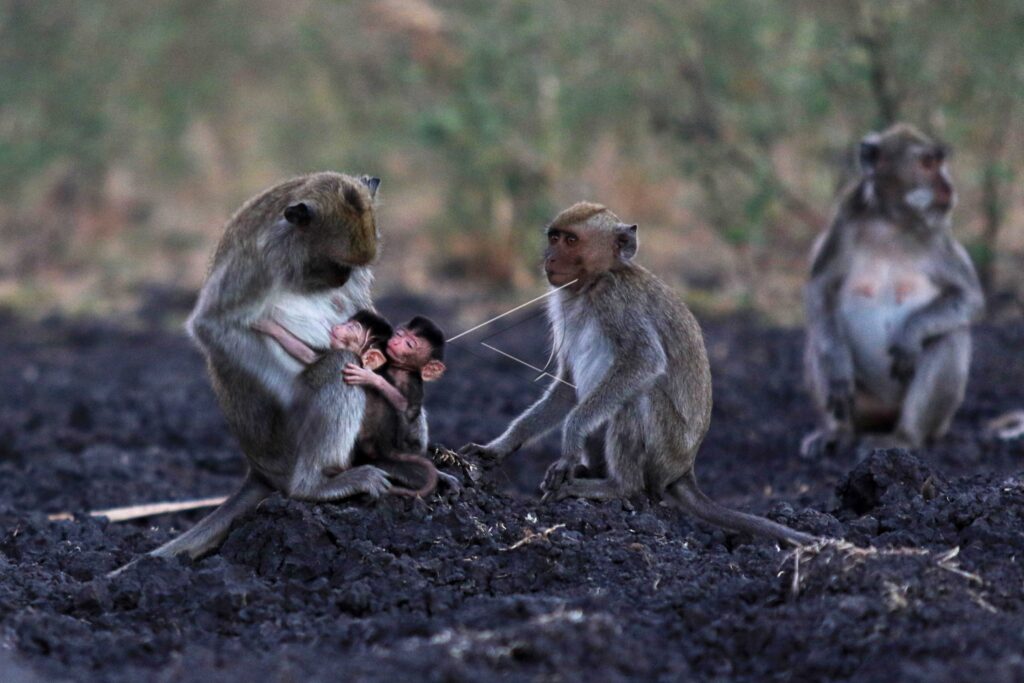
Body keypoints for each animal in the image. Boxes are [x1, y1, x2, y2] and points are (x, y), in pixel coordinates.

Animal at [122, 172, 393, 566]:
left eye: (353, 269)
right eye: (337, 265)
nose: (343, 280)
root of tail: (259, 466)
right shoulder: (260, 262)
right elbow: (212, 324)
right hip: (283, 442)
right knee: (340, 365)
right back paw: (313, 487)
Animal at [460, 202, 817, 547]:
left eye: (571, 240)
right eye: (554, 237)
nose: (549, 257)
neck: (593, 284)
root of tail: (684, 469)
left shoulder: (617, 300)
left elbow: (644, 362)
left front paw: (571, 440)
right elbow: (568, 388)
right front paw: (500, 447)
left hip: (665, 452)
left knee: (635, 398)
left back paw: (618, 486)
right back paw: (591, 472)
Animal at [801, 124, 984, 458]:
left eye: (939, 163)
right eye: (927, 164)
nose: (948, 186)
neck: (891, 222)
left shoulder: (940, 235)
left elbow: (969, 297)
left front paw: (910, 333)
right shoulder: (843, 222)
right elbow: (820, 289)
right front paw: (837, 368)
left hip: (932, 419)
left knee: (951, 336)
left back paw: (905, 436)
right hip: (862, 405)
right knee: (817, 339)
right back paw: (837, 432)